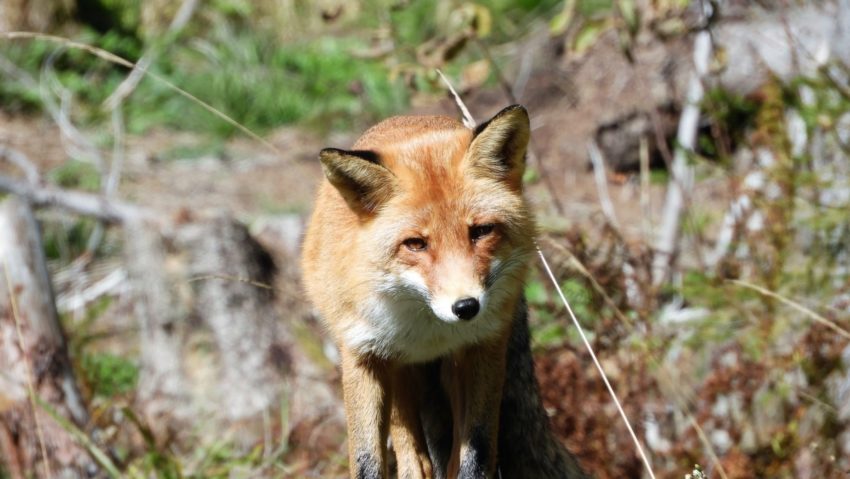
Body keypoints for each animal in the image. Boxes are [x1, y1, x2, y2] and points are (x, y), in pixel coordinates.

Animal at [302, 106, 588, 479]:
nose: (466, 307)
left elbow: (476, 452)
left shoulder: (484, 347)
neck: (426, 332)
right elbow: (367, 460)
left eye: (481, 231)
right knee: (407, 436)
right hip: (391, 366)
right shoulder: (360, 354)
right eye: (415, 244)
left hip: (456, 369)